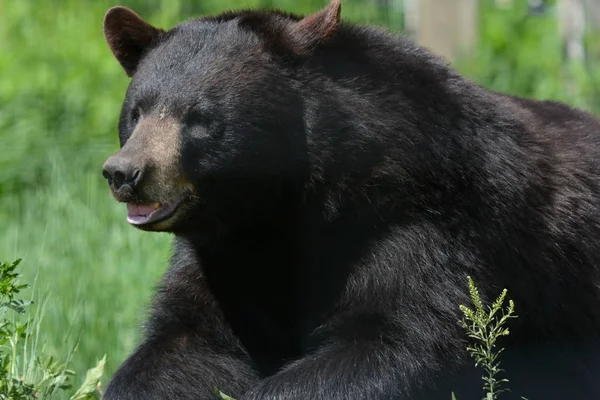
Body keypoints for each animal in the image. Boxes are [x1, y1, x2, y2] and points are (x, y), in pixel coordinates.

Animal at [99, 1, 600, 398]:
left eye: (201, 118)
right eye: (137, 112)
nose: (125, 173)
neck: (279, 213)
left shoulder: (425, 226)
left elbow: (393, 340)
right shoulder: (223, 256)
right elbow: (187, 342)